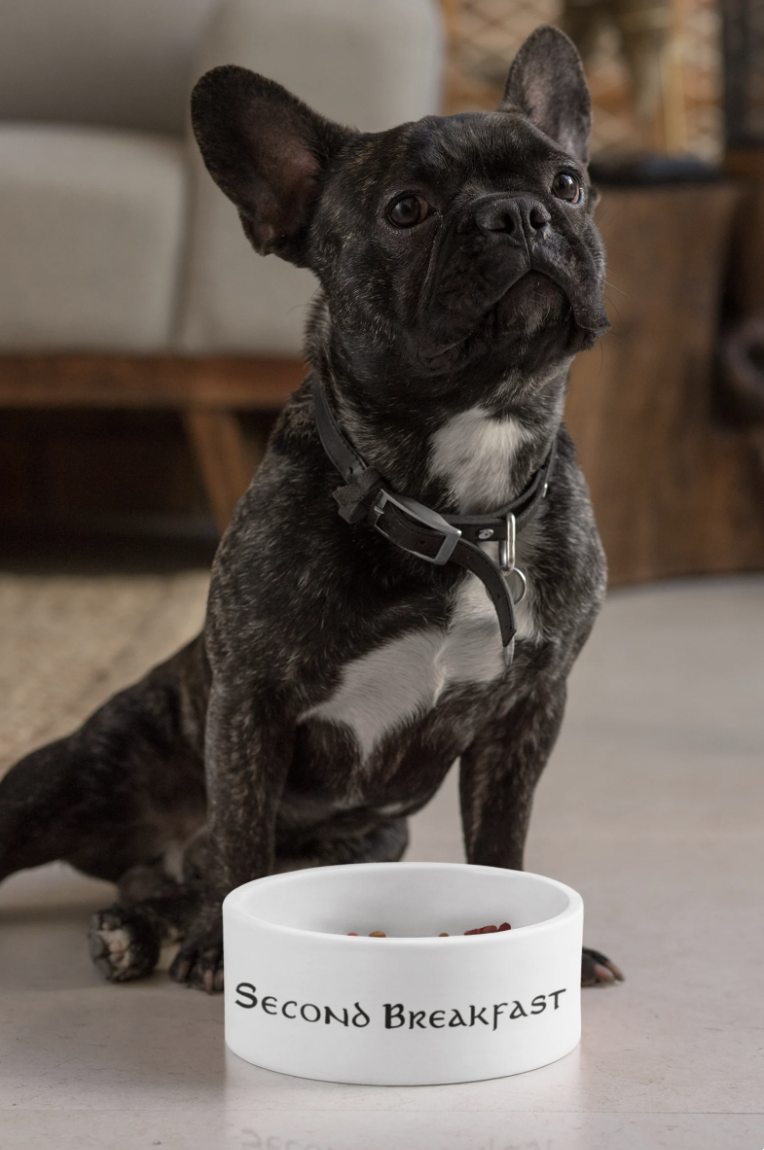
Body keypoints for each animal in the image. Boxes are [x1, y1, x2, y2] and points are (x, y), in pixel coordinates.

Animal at [0, 24, 621, 989]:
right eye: (405, 210)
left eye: (566, 184)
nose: (517, 214)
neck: (451, 502)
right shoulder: (251, 703)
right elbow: (244, 842)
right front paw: (223, 953)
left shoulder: (527, 712)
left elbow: (500, 838)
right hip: (70, 775)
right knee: (197, 853)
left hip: (376, 836)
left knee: (180, 875)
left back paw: (136, 927)